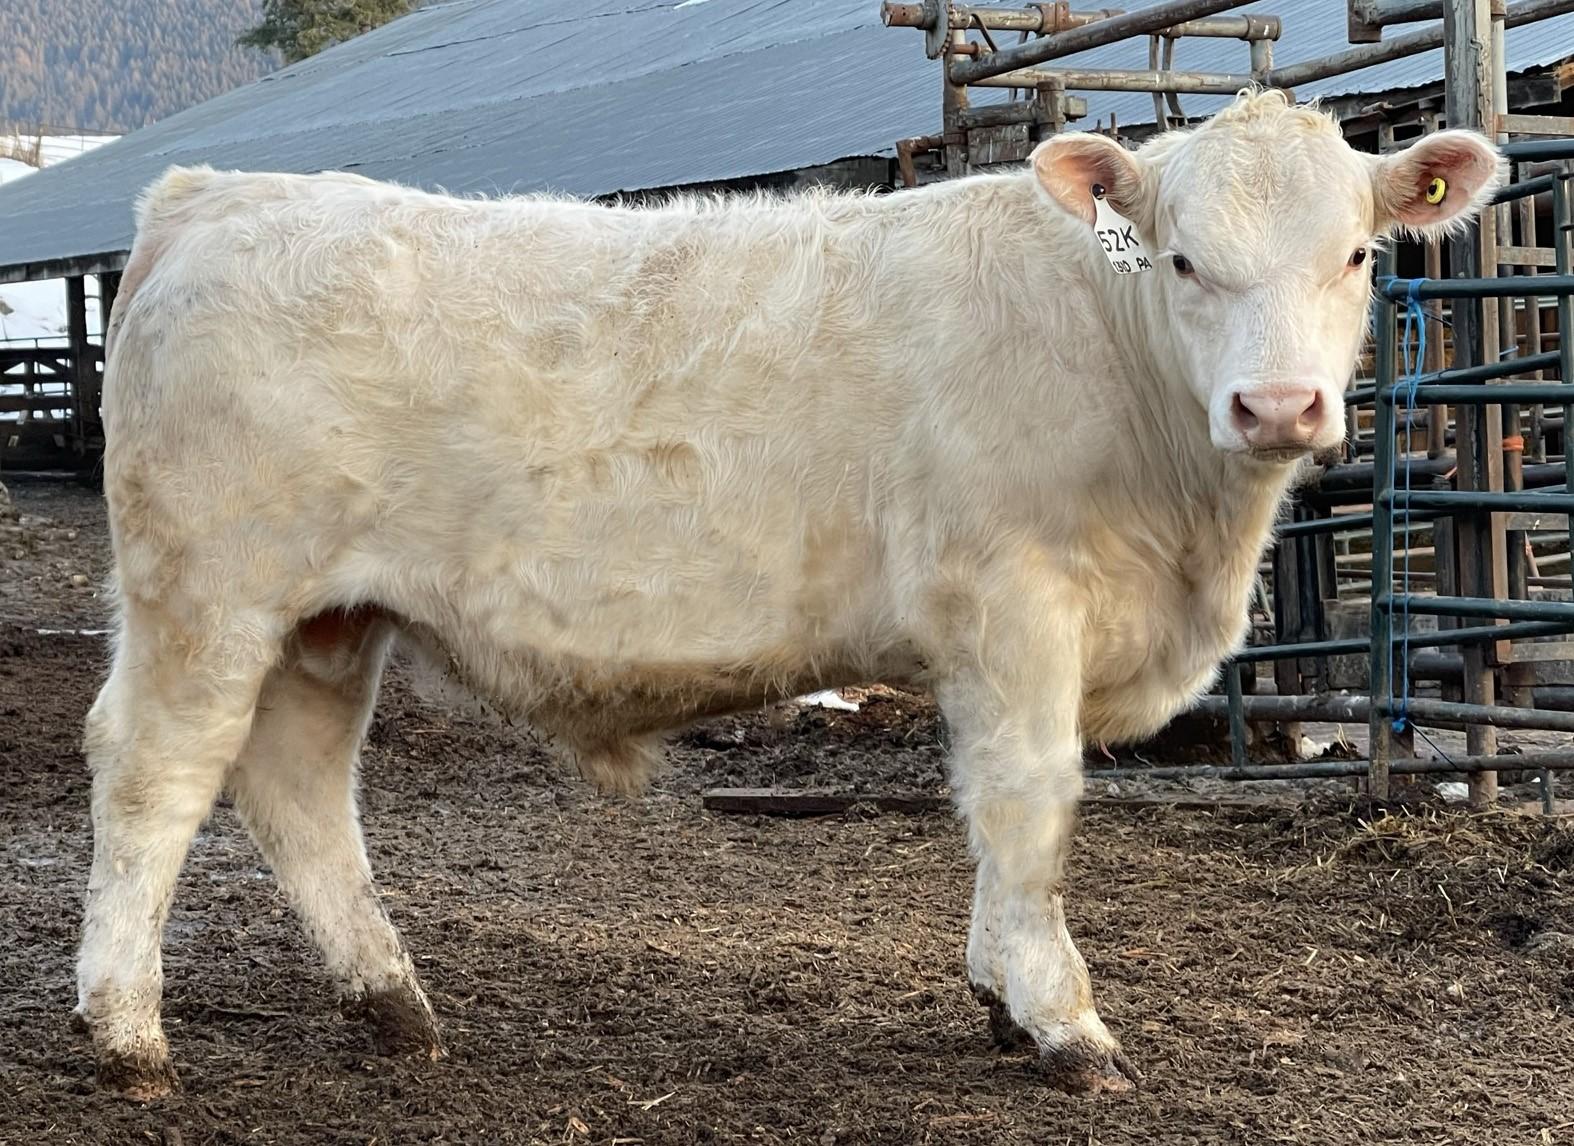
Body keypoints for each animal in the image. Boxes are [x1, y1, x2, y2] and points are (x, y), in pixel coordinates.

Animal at [77, 89, 1500, 1100]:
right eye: (1183, 260)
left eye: (1358, 254)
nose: (1277, 406)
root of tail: (216, 197)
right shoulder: (1014, 602)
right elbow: (1029, 806)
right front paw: (1064, 1023)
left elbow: (989, 811)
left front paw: (998, 993)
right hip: (208, 591)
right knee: (155, 773)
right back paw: (127, 1033)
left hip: (325, 619)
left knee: (298, 783)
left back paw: (390, 1005)